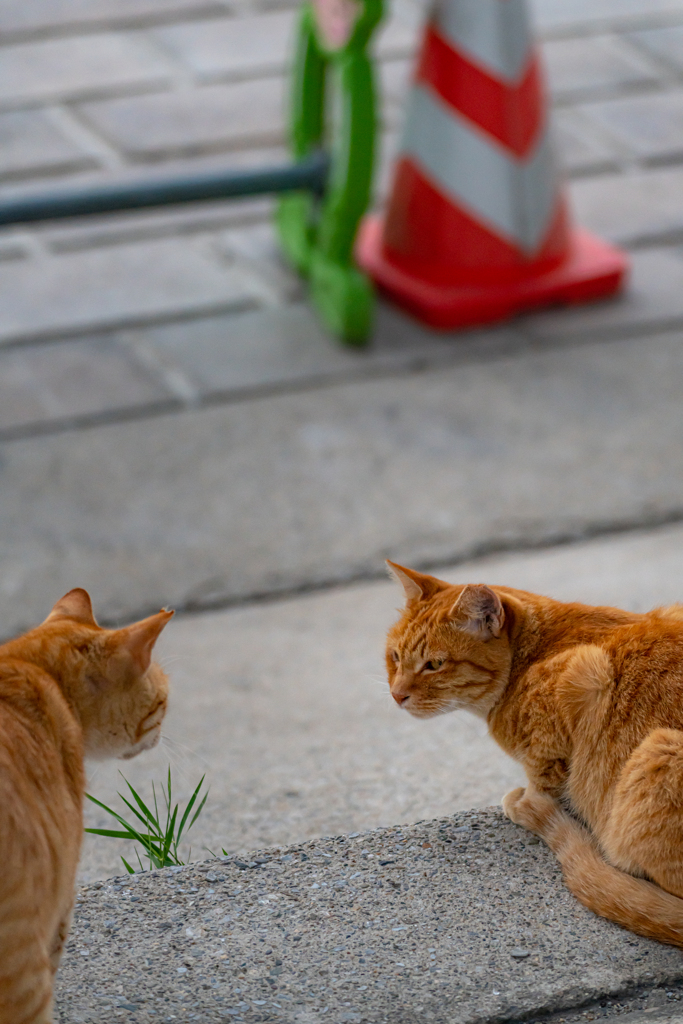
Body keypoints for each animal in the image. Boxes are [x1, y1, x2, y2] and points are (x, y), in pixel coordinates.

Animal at [387, 565, 683, 946]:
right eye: (395, 656)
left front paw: (533, 802)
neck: (531, 658)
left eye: (434, 664)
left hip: (657, 749)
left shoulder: (582, 679)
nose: (396, 695)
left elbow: (545, 778)